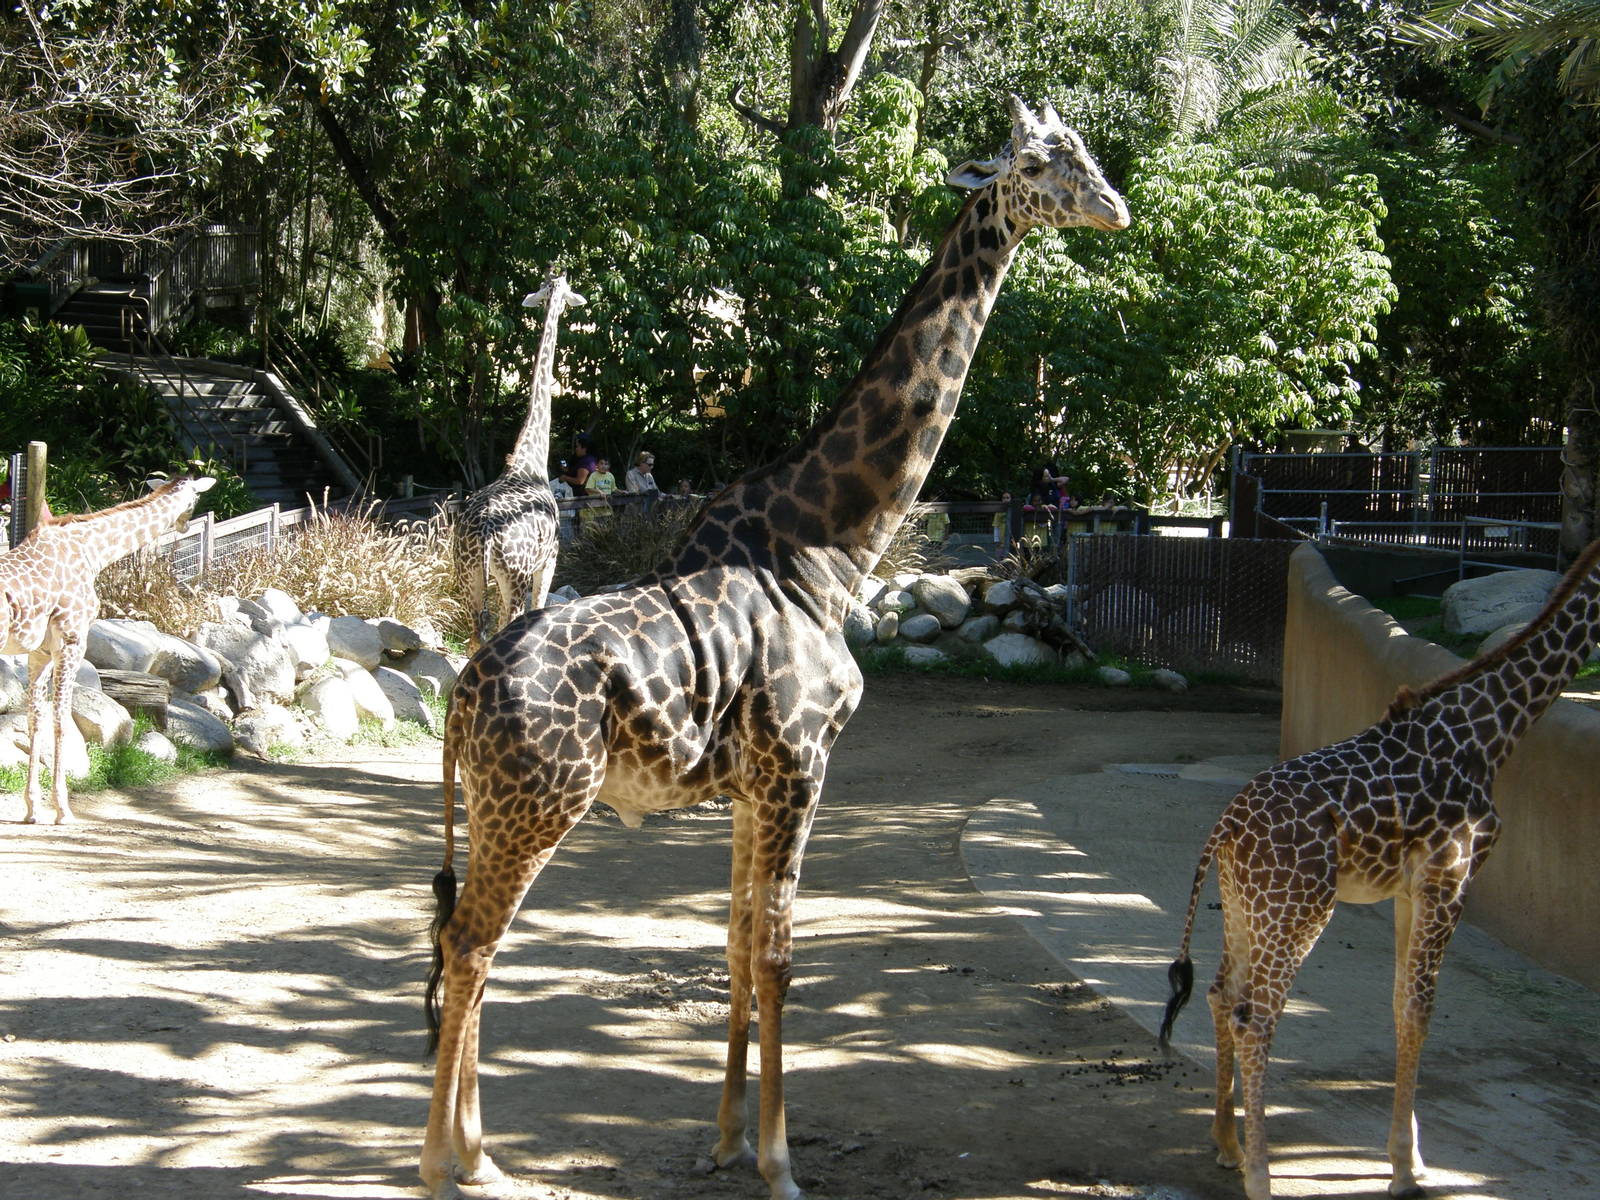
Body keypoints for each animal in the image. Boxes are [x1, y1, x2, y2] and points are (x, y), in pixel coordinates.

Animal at [1, 475, 216, 824]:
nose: (185, 523)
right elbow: (61, 720)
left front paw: (32, 809)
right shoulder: (72, 639)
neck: (93, 550)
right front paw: (63, 810)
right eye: (195, 498)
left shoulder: (39, 653)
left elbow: (35, 718)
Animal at [455, 273, 585, 651]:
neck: (530, 459)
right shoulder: (550, 561)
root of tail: (484, 534)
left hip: (467, 573)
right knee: (502, 629)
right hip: (515, 575)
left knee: (475, 635)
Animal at [1158, 537, 1600, 1200]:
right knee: (1254, 1018)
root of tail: (1227, 826)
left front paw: (1411, 1158)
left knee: (1219, 994)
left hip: (1243, 902)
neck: (1494, 730)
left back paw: (1228, 1146)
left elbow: (1398, 1006)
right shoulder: (1451, 877)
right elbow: (1419, 1011)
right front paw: (1404, 1173)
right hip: (1299, 909)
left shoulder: (1409, 890)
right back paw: (1261, 1174)